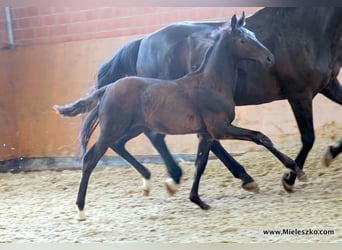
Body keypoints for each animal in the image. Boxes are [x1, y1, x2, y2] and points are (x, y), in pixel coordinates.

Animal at [56, 15, 308, 219]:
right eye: (243, 40)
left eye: (254, 35)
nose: (269, 58)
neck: (210, 83)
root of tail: (107, 89)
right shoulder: (220, 128)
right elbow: (260, 136)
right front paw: (297, 171)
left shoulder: (206, 134)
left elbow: (200, 164)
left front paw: (198, 200)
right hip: (113, 128)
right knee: (91, 158)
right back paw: (81, 210)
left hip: (132, 127)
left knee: (119, 145)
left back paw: (148, 182)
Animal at [85, 7, 342, 191]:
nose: (270, 58)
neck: (308, 29)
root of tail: (143, 42)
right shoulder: (299, 94)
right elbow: (308, 138)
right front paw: (291, 177)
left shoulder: (329, 85)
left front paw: (329, 154)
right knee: (159, 135)